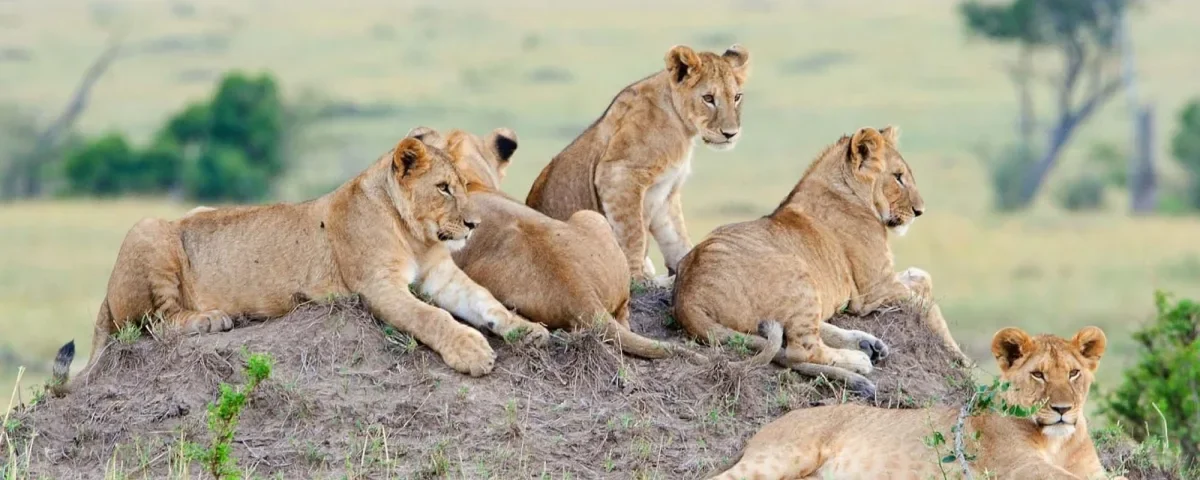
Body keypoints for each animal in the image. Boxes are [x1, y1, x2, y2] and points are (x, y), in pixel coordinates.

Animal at [47, 137, 551, 395]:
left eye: (464, 185)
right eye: (444, 188)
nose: (473, 223)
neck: (414, 234)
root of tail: (105, 295)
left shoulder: (440, 276)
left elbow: (485, 301)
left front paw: (529, 330)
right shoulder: (378, 286)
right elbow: (430, 317)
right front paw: (472, 352)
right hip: (148, 229)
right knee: (154, 323)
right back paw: (213, 320)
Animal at [525, 43, 750, 287]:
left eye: (736, 97)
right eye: (708, 98)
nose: (730, 134)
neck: (680, 126)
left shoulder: (666, 192)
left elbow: (677, 237)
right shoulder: (619, 175)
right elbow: (633, 233)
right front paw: (638, 278)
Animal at [672, 126, 967, 396]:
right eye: (898, 177)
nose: (920, 211)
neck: (848, 191)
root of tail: (687, 298)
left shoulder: (884, 282)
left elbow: (922, 276)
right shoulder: (877, 288)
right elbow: (927, 305)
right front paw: (962, 360)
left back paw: (867, 344)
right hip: (799, 274)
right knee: (800, 350)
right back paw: (860, 359)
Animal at [710, 326, 1126, 480]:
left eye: (1074, 374)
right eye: (1038, 375)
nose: (1062, 410)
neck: (1058, 442)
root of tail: (768, 426)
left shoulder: (1090, 470)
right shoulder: (1015, 468)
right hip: (780, 458)